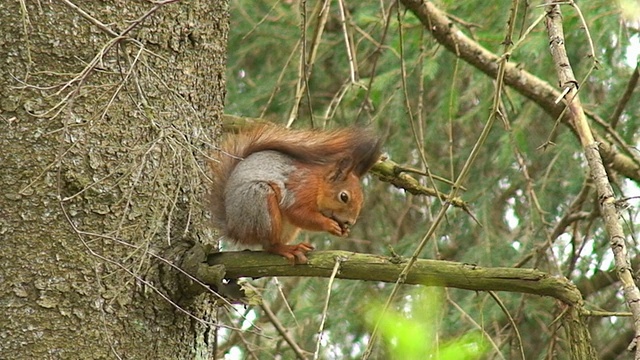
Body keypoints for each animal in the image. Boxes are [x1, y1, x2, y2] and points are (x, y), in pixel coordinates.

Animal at [210, 124, 380, 264]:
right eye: (344, 197)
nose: (350, 222)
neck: (318, 184)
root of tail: (234, 228)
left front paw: (344, 230)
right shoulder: (300, 190)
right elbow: (298, 213)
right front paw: (329, 225)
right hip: (260, 205)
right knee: (269, 245)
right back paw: (287, 249)